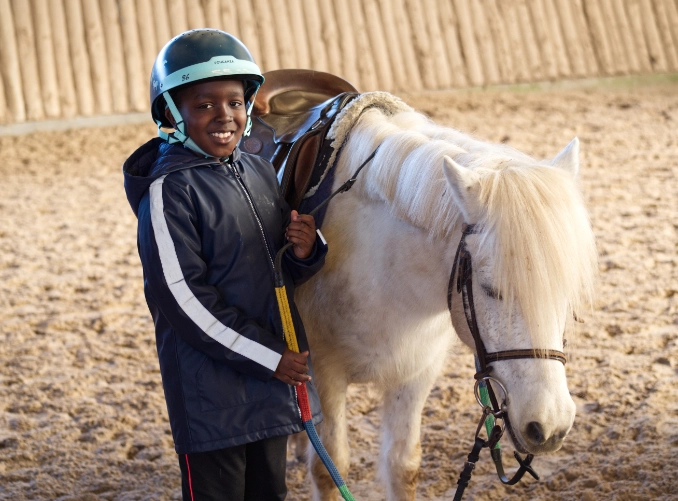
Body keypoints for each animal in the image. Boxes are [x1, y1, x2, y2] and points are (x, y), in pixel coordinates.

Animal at [294, 92, 596, 498]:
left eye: (564, 292)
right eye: (490, 289)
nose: (549, 426)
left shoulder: (416, 374)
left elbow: (403, 465)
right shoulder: (324, 373)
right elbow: (330, 468)